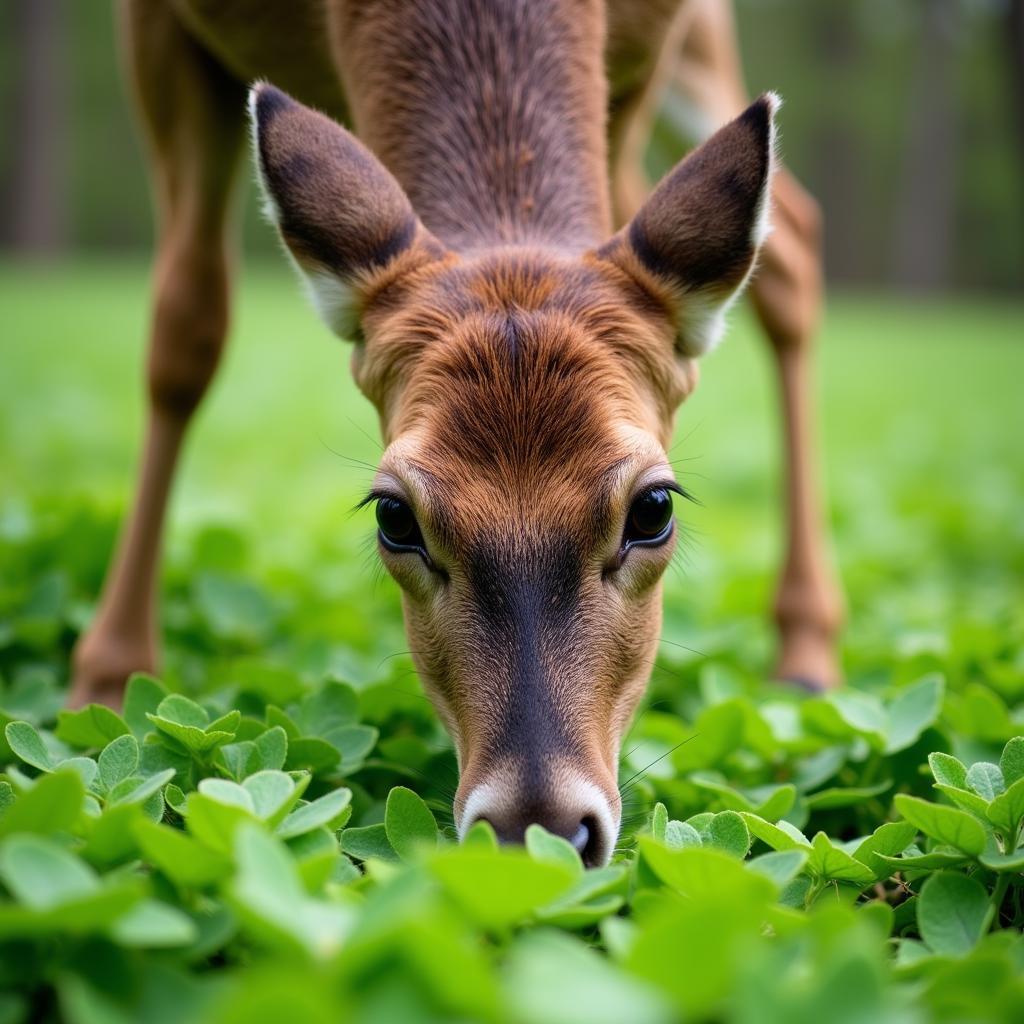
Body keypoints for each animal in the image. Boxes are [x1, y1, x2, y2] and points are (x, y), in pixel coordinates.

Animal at [70, 0, 839, 864]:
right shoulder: (159, 26)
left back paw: (807, 659)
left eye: (654, 508)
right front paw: (105, 685)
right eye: (393, 515)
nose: (538, 825)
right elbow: (184, 328)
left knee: (789, 236)